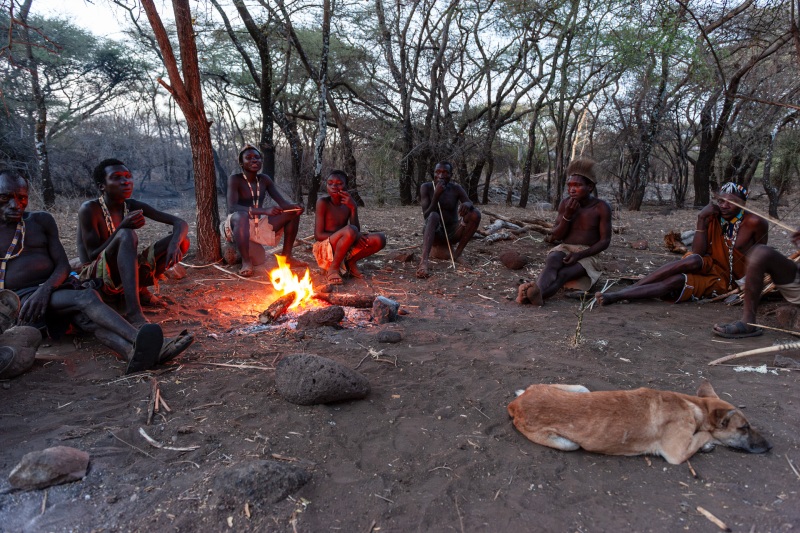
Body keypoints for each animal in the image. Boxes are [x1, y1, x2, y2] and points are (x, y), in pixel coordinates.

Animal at [510, 380, 772, 464]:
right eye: (744, 427)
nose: (770, 446)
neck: (695, 406)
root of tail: (516, 405)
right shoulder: (676, 453)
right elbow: (704, 435)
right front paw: (708, 442)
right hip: (570, 444)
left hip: (581, 389)